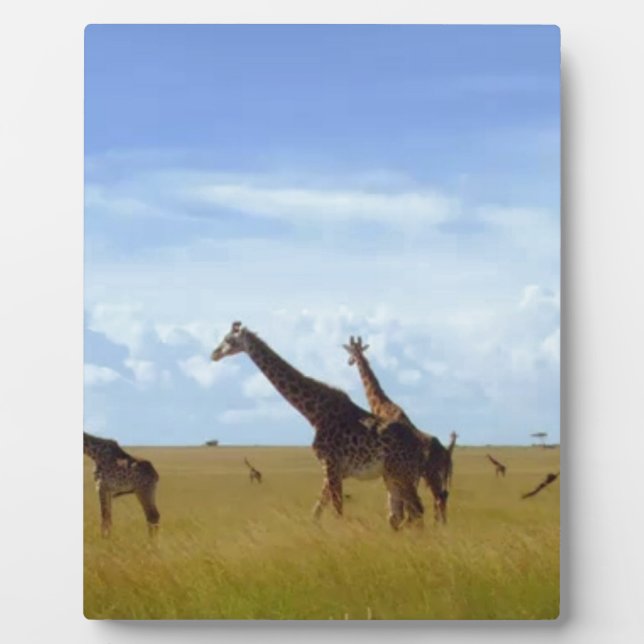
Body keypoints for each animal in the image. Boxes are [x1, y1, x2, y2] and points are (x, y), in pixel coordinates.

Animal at [211, 322, 428, 529]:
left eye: (228, 339)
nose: (214, 353)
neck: (314, 413)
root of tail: (419, 445)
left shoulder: (330, 464)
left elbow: (337, 511)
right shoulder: (331, 469)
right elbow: (316, 512)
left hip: (403, 473)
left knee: (416, 511)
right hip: (392, 474)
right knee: (399, 515)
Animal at [343, 335, 456, 523]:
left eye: (351, 351)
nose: (349, 361)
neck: (383, 406)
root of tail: (447, 453)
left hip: (432, 473)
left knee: (439, 498)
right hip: (436, 475)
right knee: (442, 496)